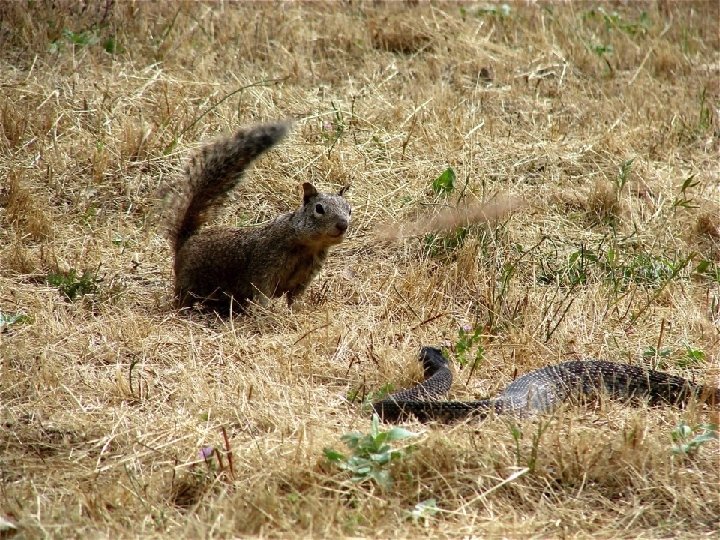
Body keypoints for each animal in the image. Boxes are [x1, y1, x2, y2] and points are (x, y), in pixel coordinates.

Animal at [166, 121, 351, 314]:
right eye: (319, 208)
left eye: (349, 210)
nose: (343, 225)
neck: (308, 246)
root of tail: (186, 241)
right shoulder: (265, 265)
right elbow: (262, 292)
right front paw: (265, 312)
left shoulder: (304, 277)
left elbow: (295, 299)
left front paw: (298, 312)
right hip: (188, 281)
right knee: (183, 298)